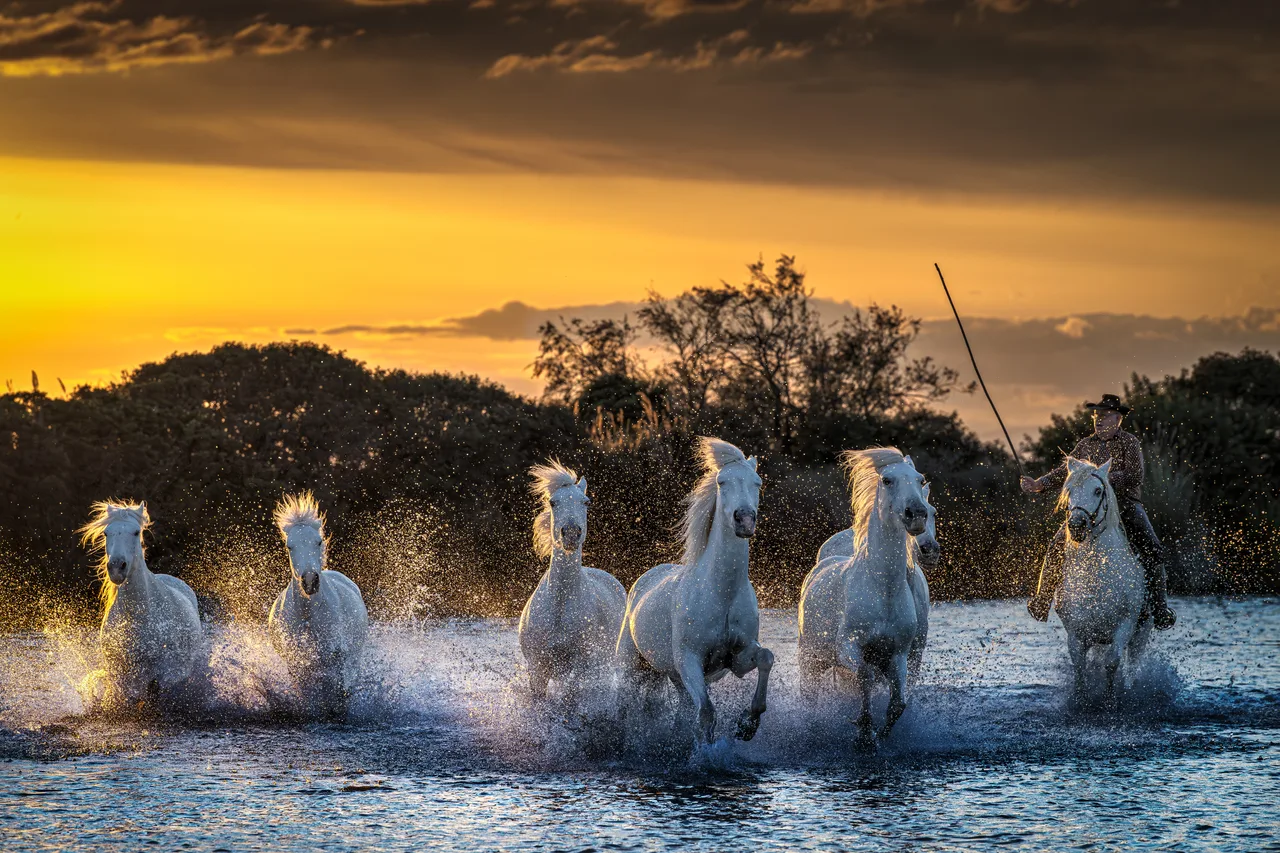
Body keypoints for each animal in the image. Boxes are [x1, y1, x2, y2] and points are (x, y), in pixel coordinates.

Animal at [79, 500, 207, 710]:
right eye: (106, 533)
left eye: (136, 532)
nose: (116, 567)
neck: (137, 617)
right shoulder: (122, 675)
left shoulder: (164, 675)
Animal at [267, 492, 369, 717]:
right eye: (289, 546)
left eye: (318, 541)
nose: (310, 580)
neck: (307, 615)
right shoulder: (298, 662)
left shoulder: (337, 654)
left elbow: (339, 691)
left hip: (354, 655)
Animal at [517, 462, 626, 699]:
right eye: (552, 502)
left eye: (586, 502)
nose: (570, 534)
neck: (560, 603)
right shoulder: (537, 669)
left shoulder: (579, 669)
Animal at [616, 437, 774, 745]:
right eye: (722, 482)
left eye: (758, 483)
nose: (744, 520)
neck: (722, 593)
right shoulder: (690, 660)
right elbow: (707, 714)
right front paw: (706, 751)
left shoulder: (737, 658)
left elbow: (766, 658)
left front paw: (747, 725)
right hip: (633, 667)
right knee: (625, 705)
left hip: (674, 676)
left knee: (682, 707)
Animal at [1054, 457, 1150, 704]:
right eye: (1069, 492)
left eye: (1098, 490)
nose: (1077, 525)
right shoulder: (1077, 633)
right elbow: (1080, 667)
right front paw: (1081, 699)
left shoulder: (1125, 626)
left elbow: (1112, 663)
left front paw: (1109, 700)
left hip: (1141, 631)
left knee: (1132, 665)